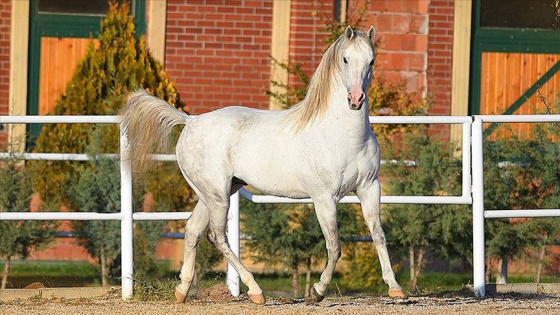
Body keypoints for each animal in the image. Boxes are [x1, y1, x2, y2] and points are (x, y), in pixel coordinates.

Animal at [122, 26, 404, 304]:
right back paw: (256, 291)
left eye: (372, 60)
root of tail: (190, 121)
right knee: (217, 236)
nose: (355, 99)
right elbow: (334, 246)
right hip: (218, 195)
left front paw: (395, 288)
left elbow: (379, 235)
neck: (344, 137)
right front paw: (317, 291)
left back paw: (182, 291)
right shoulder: (324, 198)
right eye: (346, 59)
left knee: (192, 230)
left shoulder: (369, 188)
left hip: (215, 193)